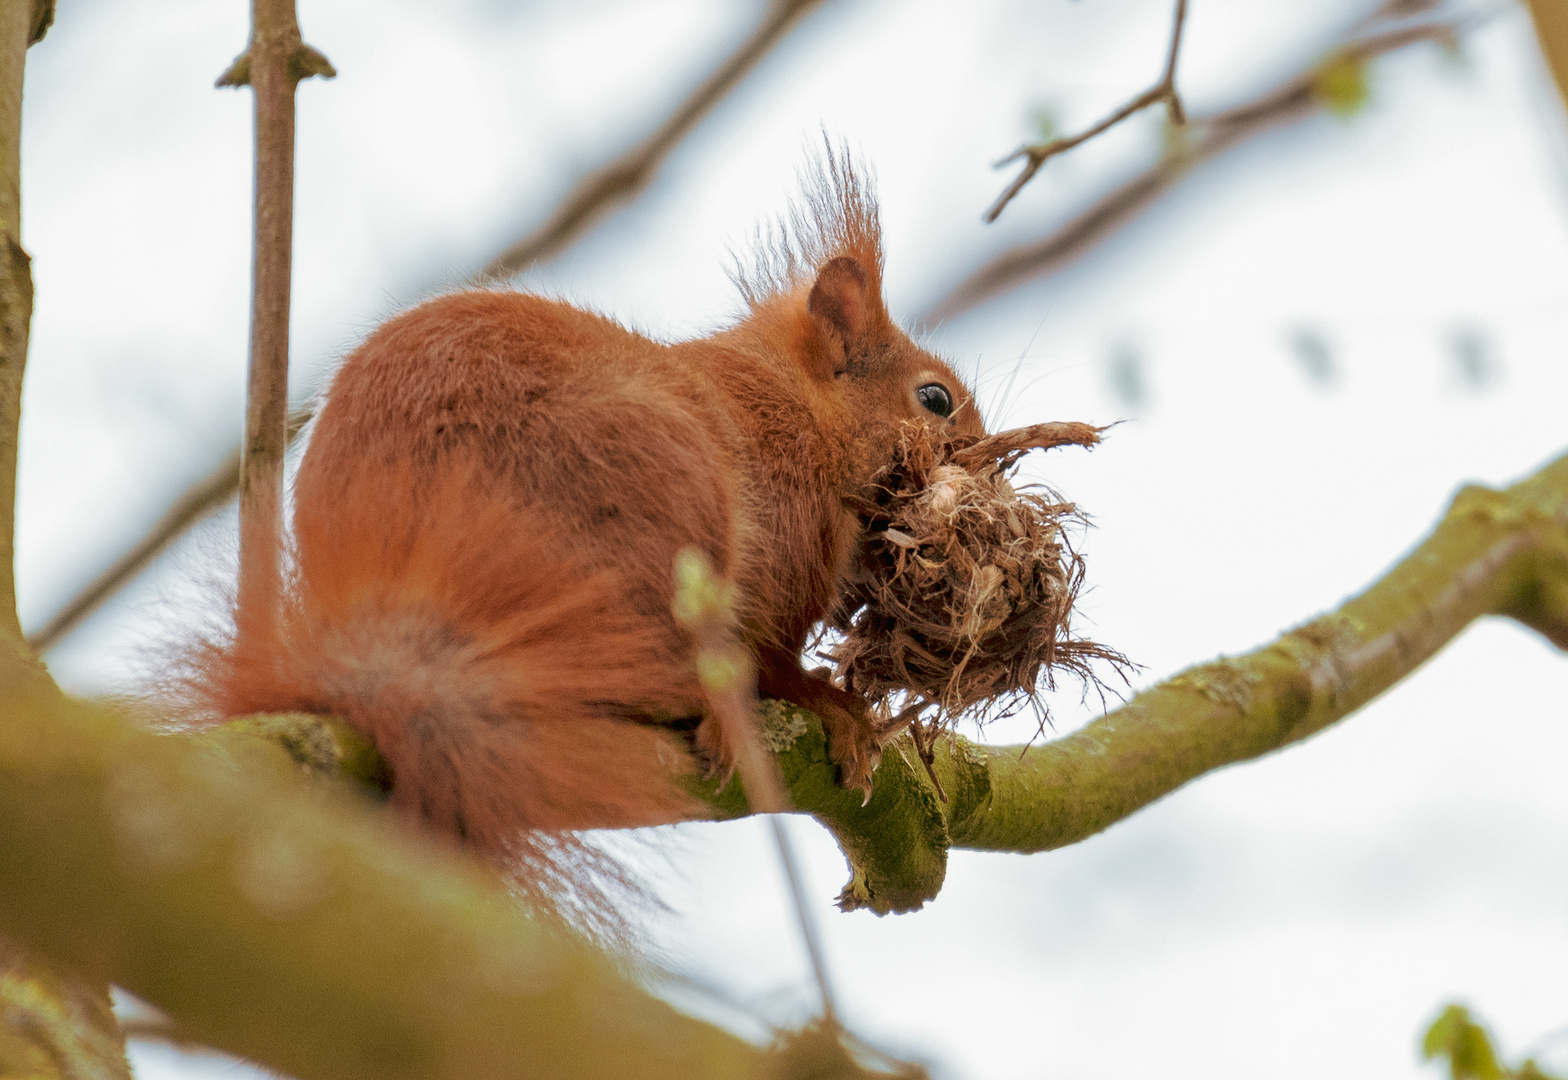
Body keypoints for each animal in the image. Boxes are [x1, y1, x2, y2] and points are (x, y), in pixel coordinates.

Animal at [189, 152, 984, 871]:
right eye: (934, 398)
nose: (984, 462)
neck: (798, 404)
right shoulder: (784, 531)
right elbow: (775, 663)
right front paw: (837, 710)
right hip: (654, 493)